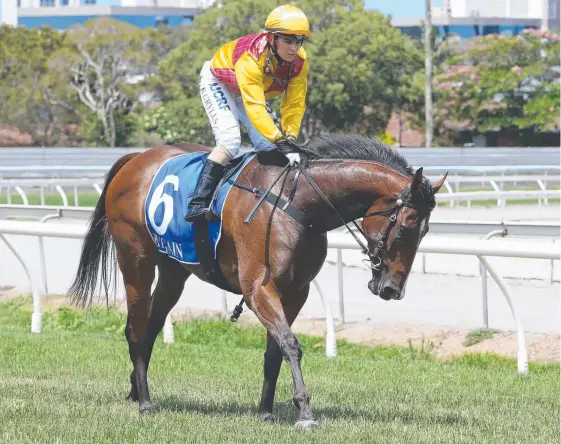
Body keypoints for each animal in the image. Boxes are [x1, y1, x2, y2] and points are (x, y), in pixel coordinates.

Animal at [69, 134, 446, 428]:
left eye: (427, 230)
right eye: (407, 226)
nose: (392, 289)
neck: (298, 203)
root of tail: (136, 159)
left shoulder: (296, 292)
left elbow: (275, 349)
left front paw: (266, 411)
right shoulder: (259, 289)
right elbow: (290, 344)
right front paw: (305, 412)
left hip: (174, 270)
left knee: (149, 328)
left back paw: (136, 392)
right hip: (136, 260)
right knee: (134, 328)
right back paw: (146, 402)